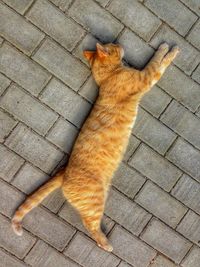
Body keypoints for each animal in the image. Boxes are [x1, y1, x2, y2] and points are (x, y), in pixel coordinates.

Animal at [11, 42, 180, 251]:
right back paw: (105, 244)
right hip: (95, 202)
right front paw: (168, 49)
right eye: (114, 46)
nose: (119, 43)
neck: (108, 76)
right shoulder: (148, 76)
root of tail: (63, 172)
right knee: (89, 224)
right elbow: (159, 60)